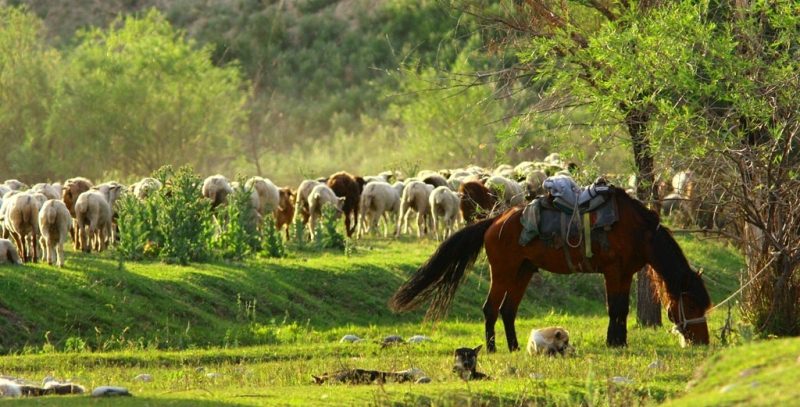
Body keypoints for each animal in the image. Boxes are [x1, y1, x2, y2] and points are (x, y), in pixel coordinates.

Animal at [390, 186, 708, 352]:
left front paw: (619, 342)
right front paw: (614, 343)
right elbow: (615, 308)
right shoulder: (613, 272)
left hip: (523, 271)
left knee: (508, 310)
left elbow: (622, 309)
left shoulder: (625, 273)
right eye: (691, 305)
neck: (637, 230)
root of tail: (494, 222)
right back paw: (492, 348)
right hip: (504, 271)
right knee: (491, 309)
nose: (703, 342)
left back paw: (515, 347)